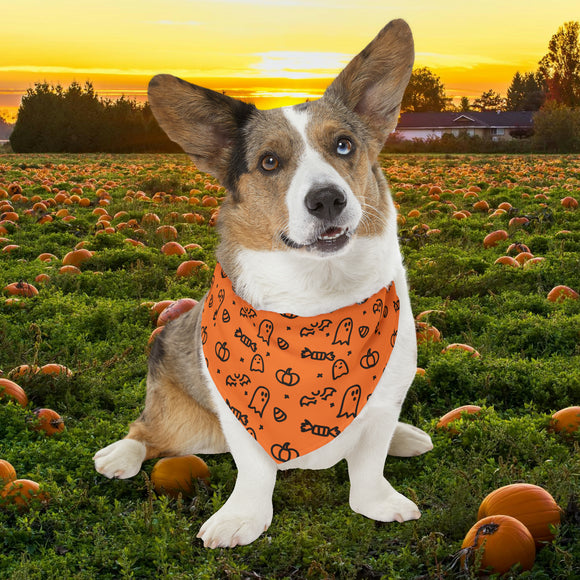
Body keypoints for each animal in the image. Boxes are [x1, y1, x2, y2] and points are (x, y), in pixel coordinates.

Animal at [94, 19, 430, 548]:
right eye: (269, 162)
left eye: (344, 145)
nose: (328, 200)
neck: (317, 300)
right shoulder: (240, 415)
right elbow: (253, 472)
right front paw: (240, 519)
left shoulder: (385, 398)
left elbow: (369, 463)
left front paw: (378, 502)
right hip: (187, 424)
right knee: (148, 431)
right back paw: (120, 455)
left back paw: (406, 436)